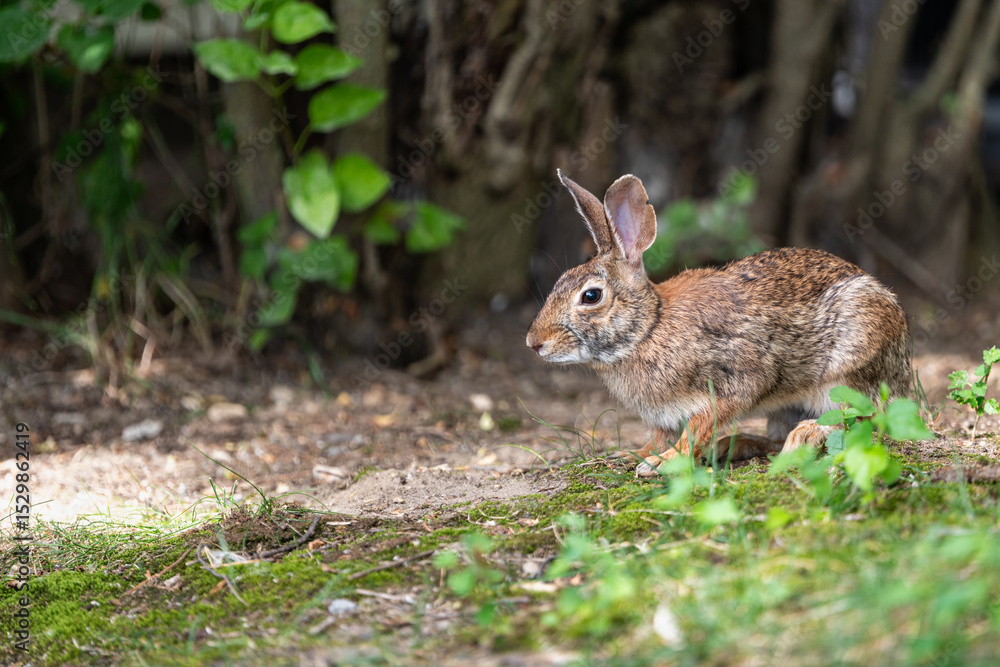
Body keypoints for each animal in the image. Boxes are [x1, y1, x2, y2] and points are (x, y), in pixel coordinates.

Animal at [526, 170, 911, 476]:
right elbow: (659, 436)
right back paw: (733, 445)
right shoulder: (662, 417)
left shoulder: (736, 381)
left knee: (862, 418)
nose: (534, 343)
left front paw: (663, 462)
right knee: (776, 439)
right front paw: (636, 454)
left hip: (848, 366)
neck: (647, 329)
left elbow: (699, 425)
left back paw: (802, 437)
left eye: (591, 296)